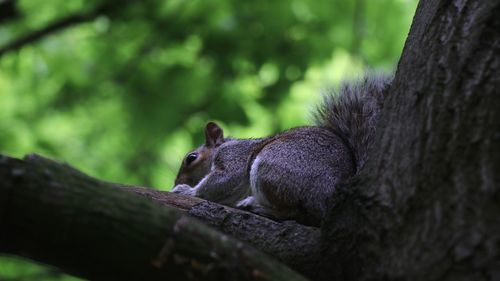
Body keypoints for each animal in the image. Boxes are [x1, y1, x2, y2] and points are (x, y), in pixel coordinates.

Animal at [172, 74, 390, 225]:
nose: (177, 182)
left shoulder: (233, 157)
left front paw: (187, 191)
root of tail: (332, 197)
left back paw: (257, 206)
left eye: (191, 158)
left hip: (273, 164)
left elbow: (222, 180)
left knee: (297, 213)